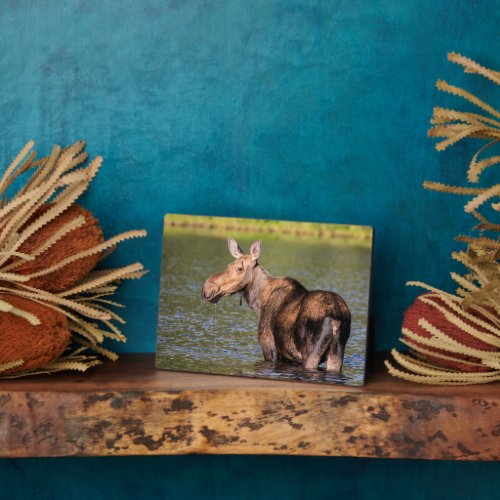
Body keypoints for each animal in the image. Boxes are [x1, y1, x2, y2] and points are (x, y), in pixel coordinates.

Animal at [200, 238, 352, 372]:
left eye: (239, 268)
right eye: (228, 265)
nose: (207, 287)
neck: (259, 304)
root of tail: (336, 320)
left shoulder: (269, 348)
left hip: (311, 353)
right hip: (336, 355)